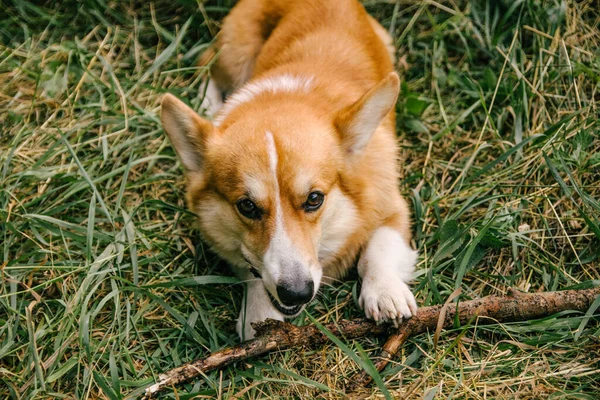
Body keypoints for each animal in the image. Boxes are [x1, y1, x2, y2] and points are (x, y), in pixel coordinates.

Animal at [162, 0, 420, 340]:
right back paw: (208, 106)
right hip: (235, 52)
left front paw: (385, 293)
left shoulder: (392, 206)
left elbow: (378, 247)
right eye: (247, 206)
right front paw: (259, 312)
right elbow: (252, 270)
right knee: (208, 63)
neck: (285, 99)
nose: (296, 292)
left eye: (314, 199)